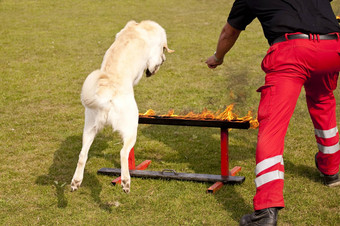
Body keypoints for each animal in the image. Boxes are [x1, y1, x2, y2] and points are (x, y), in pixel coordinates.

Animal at [71, 20, 173, 192]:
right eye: (162, 54)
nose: (164, 58)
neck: (140, 26)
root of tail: (106, 96)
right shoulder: (152, 57)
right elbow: (154, 62)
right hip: (132, 127)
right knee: (123, 153)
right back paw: (125, 182)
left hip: (89, 129)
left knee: (82, 155)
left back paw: (75, 182)